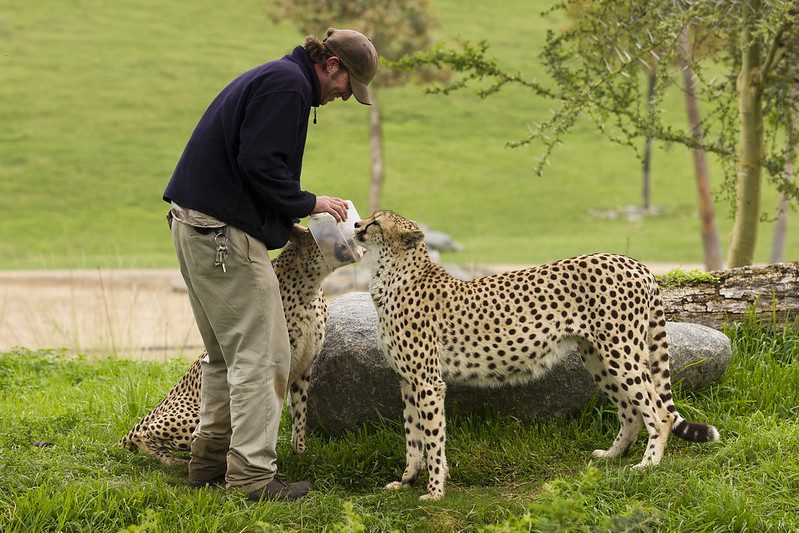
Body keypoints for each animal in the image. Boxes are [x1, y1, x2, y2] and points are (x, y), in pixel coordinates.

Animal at [119, 222, 332, 464]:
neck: (309, 286)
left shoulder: (304, 367)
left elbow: (300, 411)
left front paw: (301, 453)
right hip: (193, 416)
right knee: (146, 435)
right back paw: (172, 460)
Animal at [354, 211, 720, 498]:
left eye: (376, 222)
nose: (356, 225)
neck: (391, 272)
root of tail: (634, 263)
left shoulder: (428, 381)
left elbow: (431, 437)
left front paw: (434, 491)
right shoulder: (409, 381)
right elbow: (413, 435)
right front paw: (407, 481)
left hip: (621, 350)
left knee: (659, 412)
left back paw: (647, 464)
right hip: (596, 355)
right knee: (631, 411)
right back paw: (613, 455)